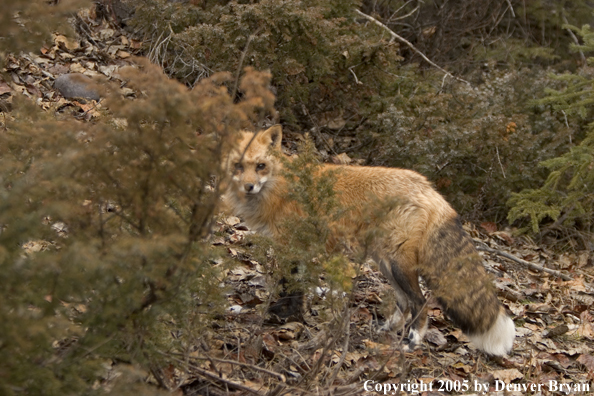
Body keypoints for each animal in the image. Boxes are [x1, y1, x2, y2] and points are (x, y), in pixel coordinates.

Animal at [223, 125, 512, 354]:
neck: (281, 187)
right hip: (384, 263)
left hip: (398, 265)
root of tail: (430, 189)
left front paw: (278, 314)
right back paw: (386, 329)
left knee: (420, 302)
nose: (249, 186)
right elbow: (298, 288)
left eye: (260, 166)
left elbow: (287, 286)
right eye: (238, 166)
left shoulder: (291, 244)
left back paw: (412, 342)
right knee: (404, 302)